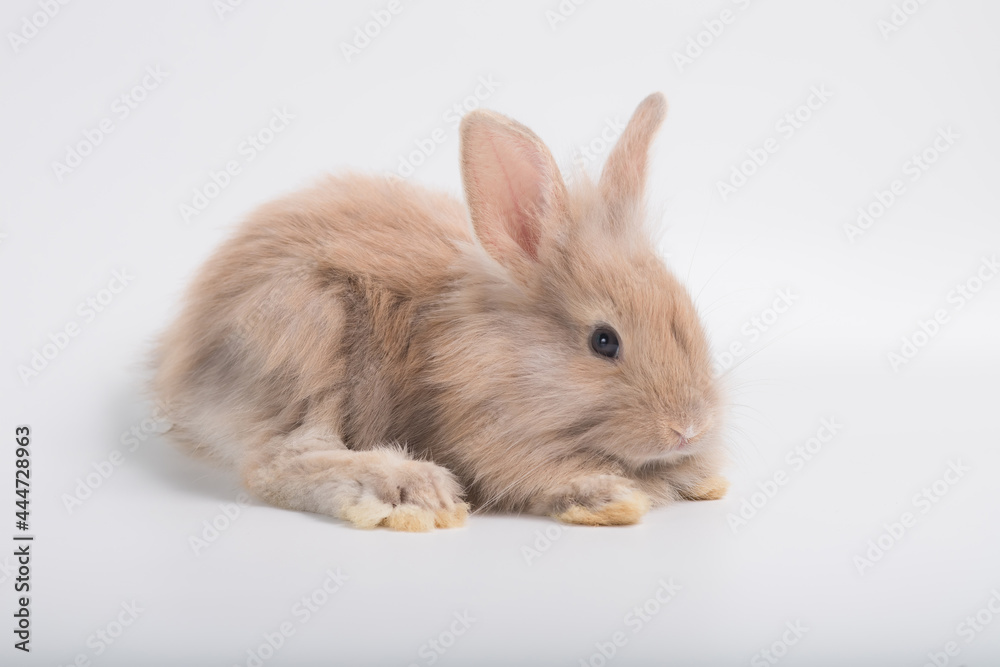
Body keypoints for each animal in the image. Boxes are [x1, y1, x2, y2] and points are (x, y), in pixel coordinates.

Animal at [151, 92, 729, 532]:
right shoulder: (485, 442)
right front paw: (610, 496)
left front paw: (698, 479)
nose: (688, 428)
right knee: (278, 461)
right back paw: (411, 493)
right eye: (603, 341)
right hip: (310, 336)